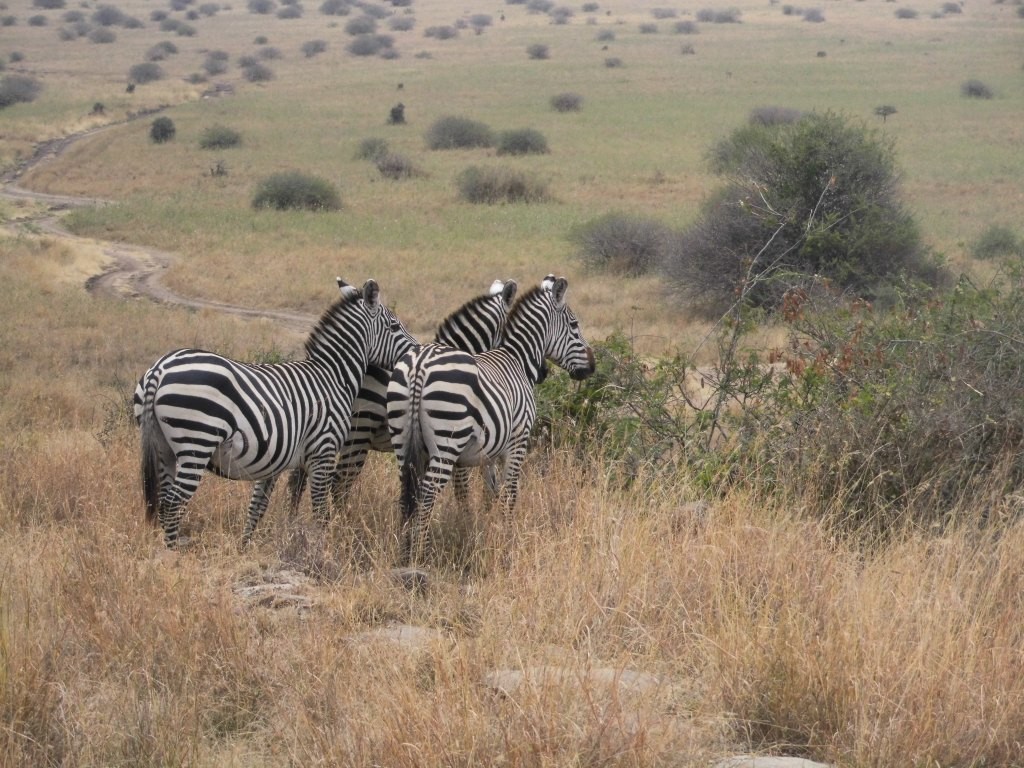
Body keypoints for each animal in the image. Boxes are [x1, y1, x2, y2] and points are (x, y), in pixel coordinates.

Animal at [137, 278, 417, 547]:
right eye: (395, 326)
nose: (416, 351)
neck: (333, 375)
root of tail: (160, 368)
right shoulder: (323, 452)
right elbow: (320, 511)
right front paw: (322, 548)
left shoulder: (276, 458)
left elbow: (257, 506)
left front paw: (245, 548)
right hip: (196, 443)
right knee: (173, 503)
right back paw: (173, 553)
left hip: (163, 448)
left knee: (164, 500)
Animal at [387, 275, 595, 564]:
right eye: (574, 325)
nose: (592, 366)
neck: (517, 358)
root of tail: (420, 364)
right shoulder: (518, 439)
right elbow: (508, 493)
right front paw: (507, 540)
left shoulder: (489, 451)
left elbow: (489, 492)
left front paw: (478, 530)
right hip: (446, 443)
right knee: (427, 494)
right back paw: (422, 554)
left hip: (402, 439)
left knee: (407, 491)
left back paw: (405, 552)